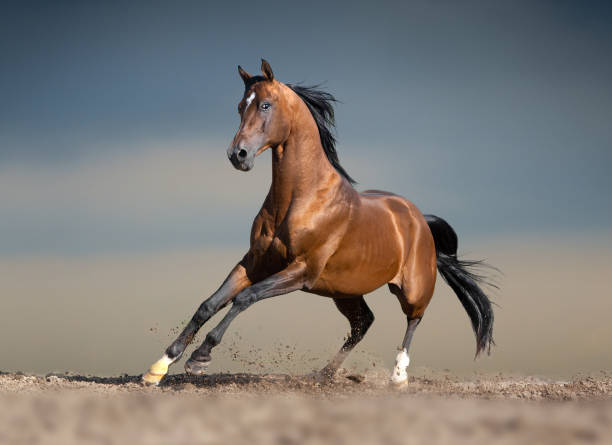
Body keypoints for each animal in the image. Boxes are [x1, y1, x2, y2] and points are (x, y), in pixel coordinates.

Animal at [141, 58, 494, 386]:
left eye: (265, 104)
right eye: (240, 106)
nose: (237, 155)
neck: (299, 199)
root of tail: (419, 218)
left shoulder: (301, 271)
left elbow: (245, 297)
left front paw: (200, 358)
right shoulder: (254, 262)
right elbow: (209, 303)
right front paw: (159, 367)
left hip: (413, 287)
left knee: (413, 320)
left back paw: (397, 377)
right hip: (345, 291)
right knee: (363, 323)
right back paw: (323, 375)